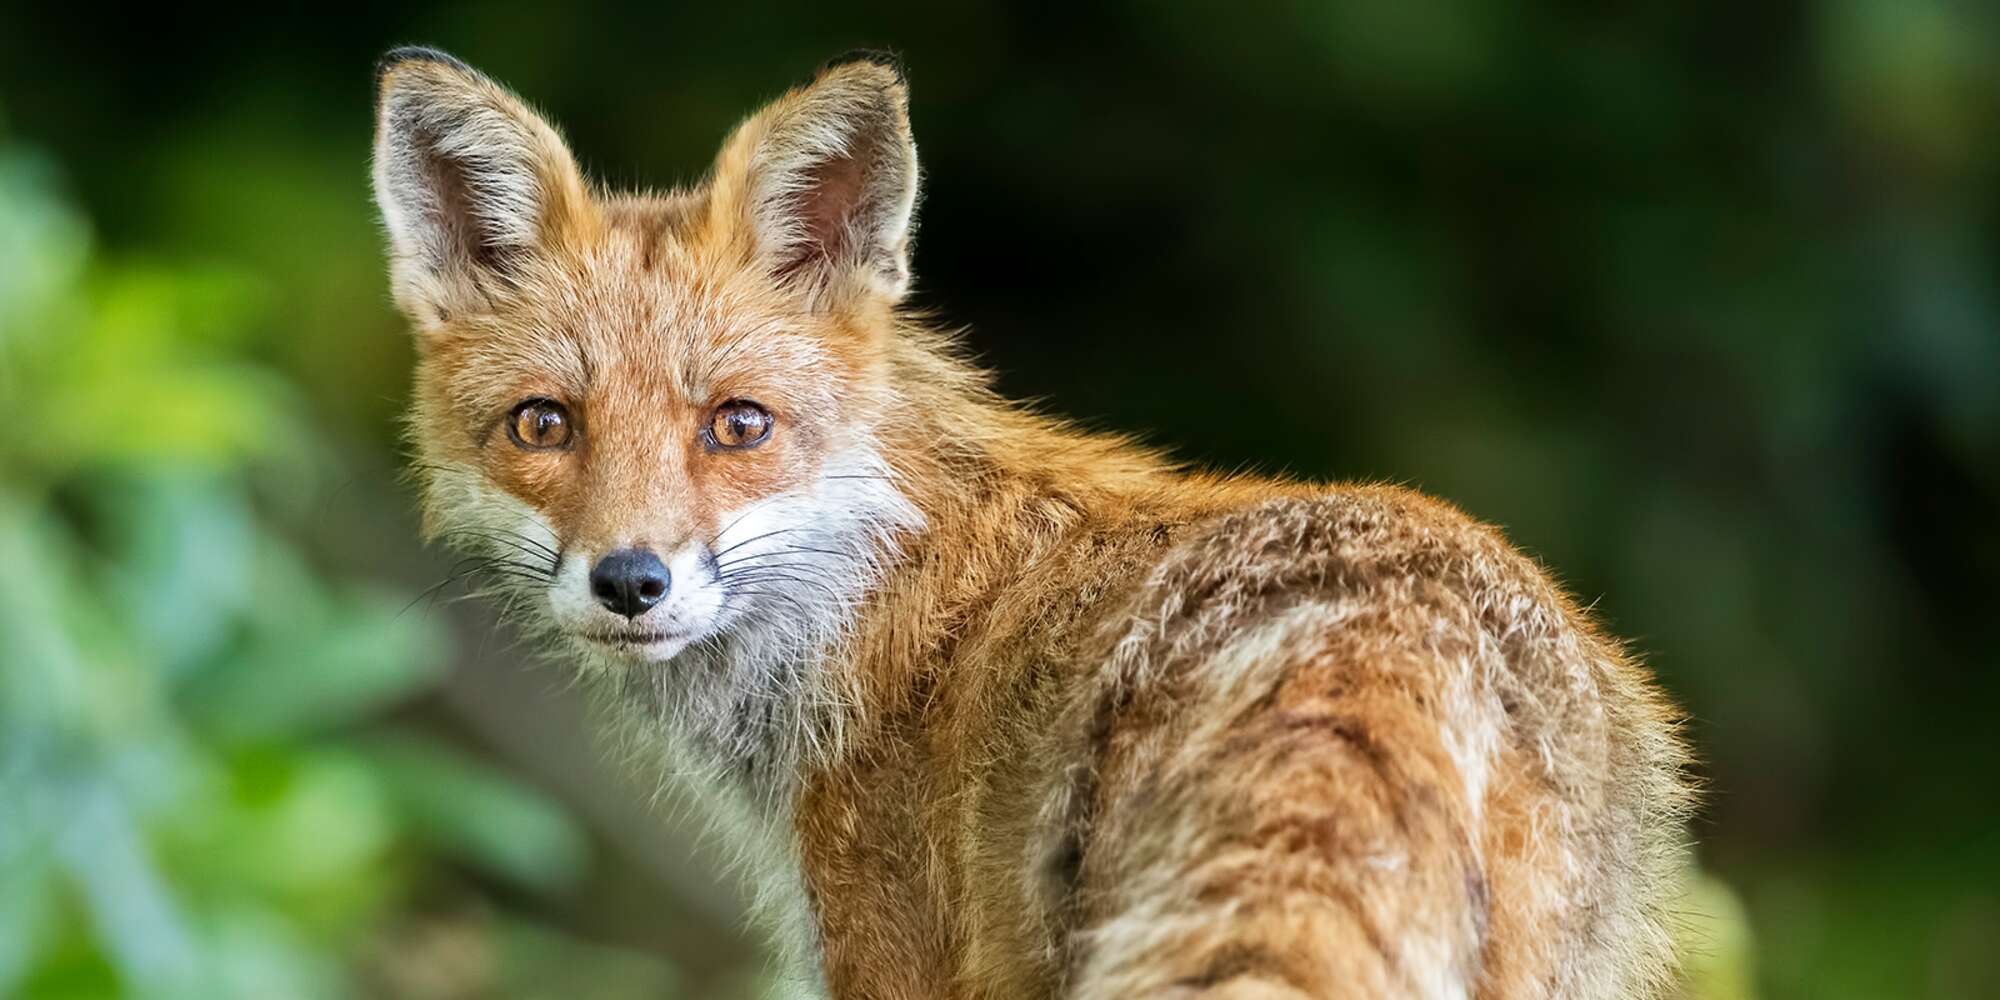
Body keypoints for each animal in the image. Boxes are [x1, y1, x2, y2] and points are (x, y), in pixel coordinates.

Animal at [372, 47, 1688, 1000]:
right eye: (544, 425)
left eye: (737, 424)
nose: (630, 580)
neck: (865, 590)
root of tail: (1377, 636)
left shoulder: (886, 956)